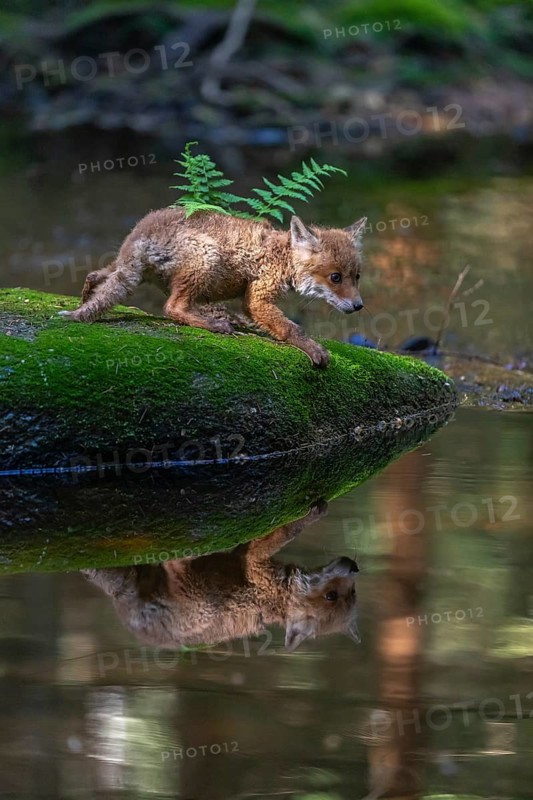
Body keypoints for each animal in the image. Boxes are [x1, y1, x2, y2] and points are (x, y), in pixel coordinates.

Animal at [59, 208, 367, 368]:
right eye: (335, 277)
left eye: (357, 277)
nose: (359, 306)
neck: (281, 257)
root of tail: (139, 235)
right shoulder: (257, 299)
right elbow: (292, 329)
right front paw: (314, 350)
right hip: (207, 257)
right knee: (172, 308)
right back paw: (216, 325)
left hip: (129, 271)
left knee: (94, 276)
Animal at [82, 501, 361, 651]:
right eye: (332, 595)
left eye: (351, 592)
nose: (353, 565)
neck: (278, 597)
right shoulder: (251, 560)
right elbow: (289, 530)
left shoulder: (252, 561)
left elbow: (288, 530)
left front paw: (313, 513)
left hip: (199, 601)